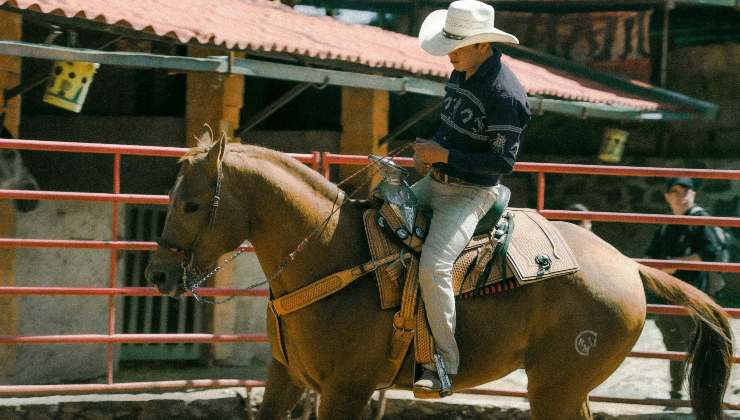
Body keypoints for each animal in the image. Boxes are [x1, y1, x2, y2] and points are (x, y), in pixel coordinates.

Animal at [146, 135, 736, 420]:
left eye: (192, 203)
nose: (157, 274)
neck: (331, 257)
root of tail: (628, 265)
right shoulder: (285, 377)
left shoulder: (345, 390)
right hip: (566, 389)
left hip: (555, 388)